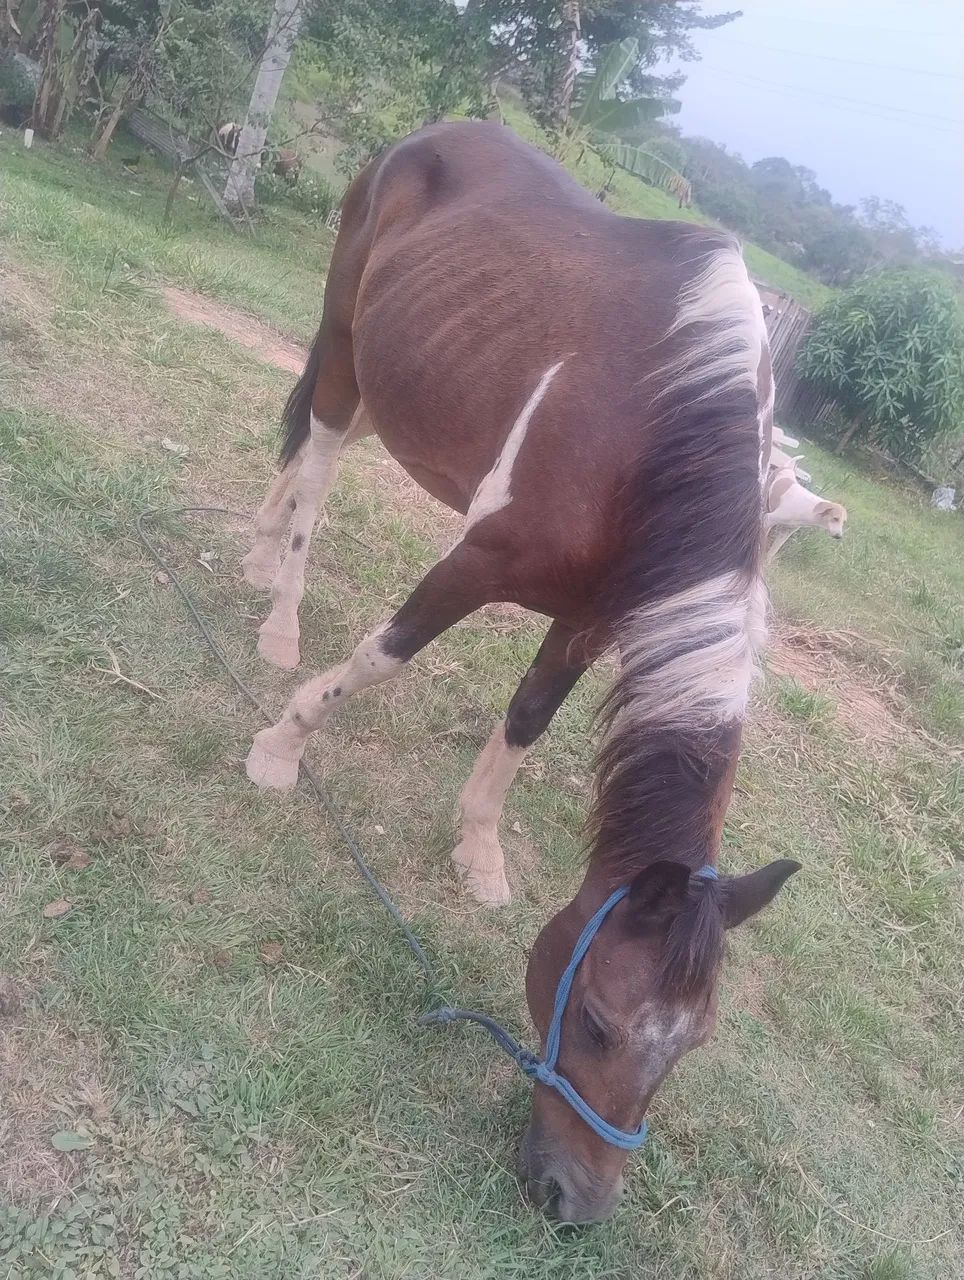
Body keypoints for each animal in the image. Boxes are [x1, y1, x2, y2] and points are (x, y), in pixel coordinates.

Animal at [241, 120, 800, 1223]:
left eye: (692, 1047)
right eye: (597, 1021)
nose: (573, 1202)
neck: (648, 431)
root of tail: (436, 133)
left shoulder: (589, 616)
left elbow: (529, 717)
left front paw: (480, 850)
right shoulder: (483, 556)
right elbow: (384, 653)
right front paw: (283, 743)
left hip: (398, 366)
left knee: (319, 444)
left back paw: (256, 553)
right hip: (346, 337)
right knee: (319, 454)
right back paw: (280, 612)